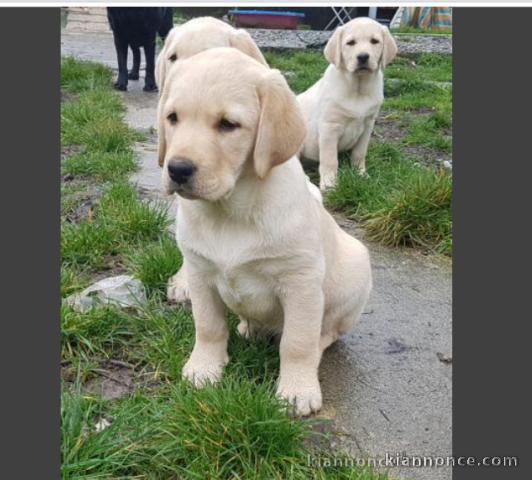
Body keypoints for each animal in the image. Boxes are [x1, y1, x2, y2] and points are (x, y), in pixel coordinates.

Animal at [158, 48, 374, 416]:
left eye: (228, 124)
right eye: (173, 118)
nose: (177, 169)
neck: (229, 210)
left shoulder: (300, 282)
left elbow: (297, 342)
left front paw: (297, 390)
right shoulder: (199, 273)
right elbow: (208, 327)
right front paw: (203, 369)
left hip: (356, 272)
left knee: (325, 331)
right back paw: (248, 327)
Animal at [298, 17, 396, 189]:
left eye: (374, 41)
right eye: (350, 43)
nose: (363, 57)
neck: (358, 88)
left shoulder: (368, 125)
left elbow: (359, 153)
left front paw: (361, 175)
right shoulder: (329, 127)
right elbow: (330, 160)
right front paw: (330, 184)